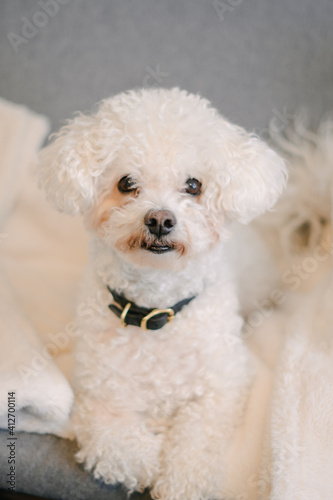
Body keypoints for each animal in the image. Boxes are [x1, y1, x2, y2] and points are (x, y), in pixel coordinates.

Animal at [37, 88, 286, 498]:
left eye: (193, 185)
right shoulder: (99, 397)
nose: (159, 220)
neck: (156, 311)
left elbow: (197, 442)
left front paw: (180, 481)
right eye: (126, 183)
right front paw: (147, 459)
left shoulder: (223, 386)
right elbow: (114, 443)